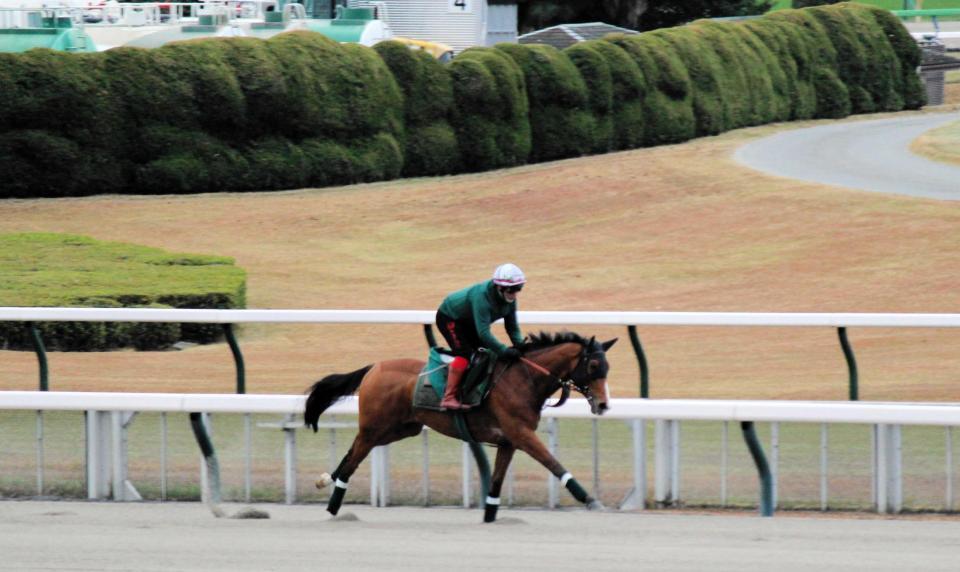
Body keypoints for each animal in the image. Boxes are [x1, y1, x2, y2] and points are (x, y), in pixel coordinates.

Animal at [304, 331, 617, 522]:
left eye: (607, 368)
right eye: (593, 367)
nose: (603, 405)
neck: (523, 378)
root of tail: (373, 368)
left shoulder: (508, 441)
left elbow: (496, 482)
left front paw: (490, 518)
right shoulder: (522, 434)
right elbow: (554, 463)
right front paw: (591, 500)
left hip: (399, 428)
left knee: (350, 454)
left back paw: (326, 481)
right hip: (374, 428)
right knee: (352, 462)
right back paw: (333, 508)